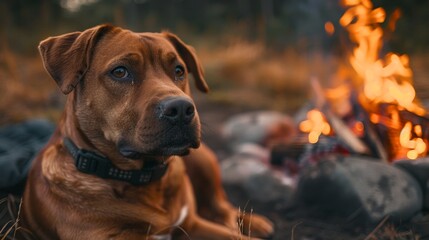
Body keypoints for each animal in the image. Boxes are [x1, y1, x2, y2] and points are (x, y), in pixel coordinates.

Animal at [20, 25, 272, 239]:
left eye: (179, 70)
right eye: (120, 72)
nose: (181, 109)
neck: (143, 178)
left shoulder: (192, 224)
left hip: (204, 161)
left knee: (221, 207)